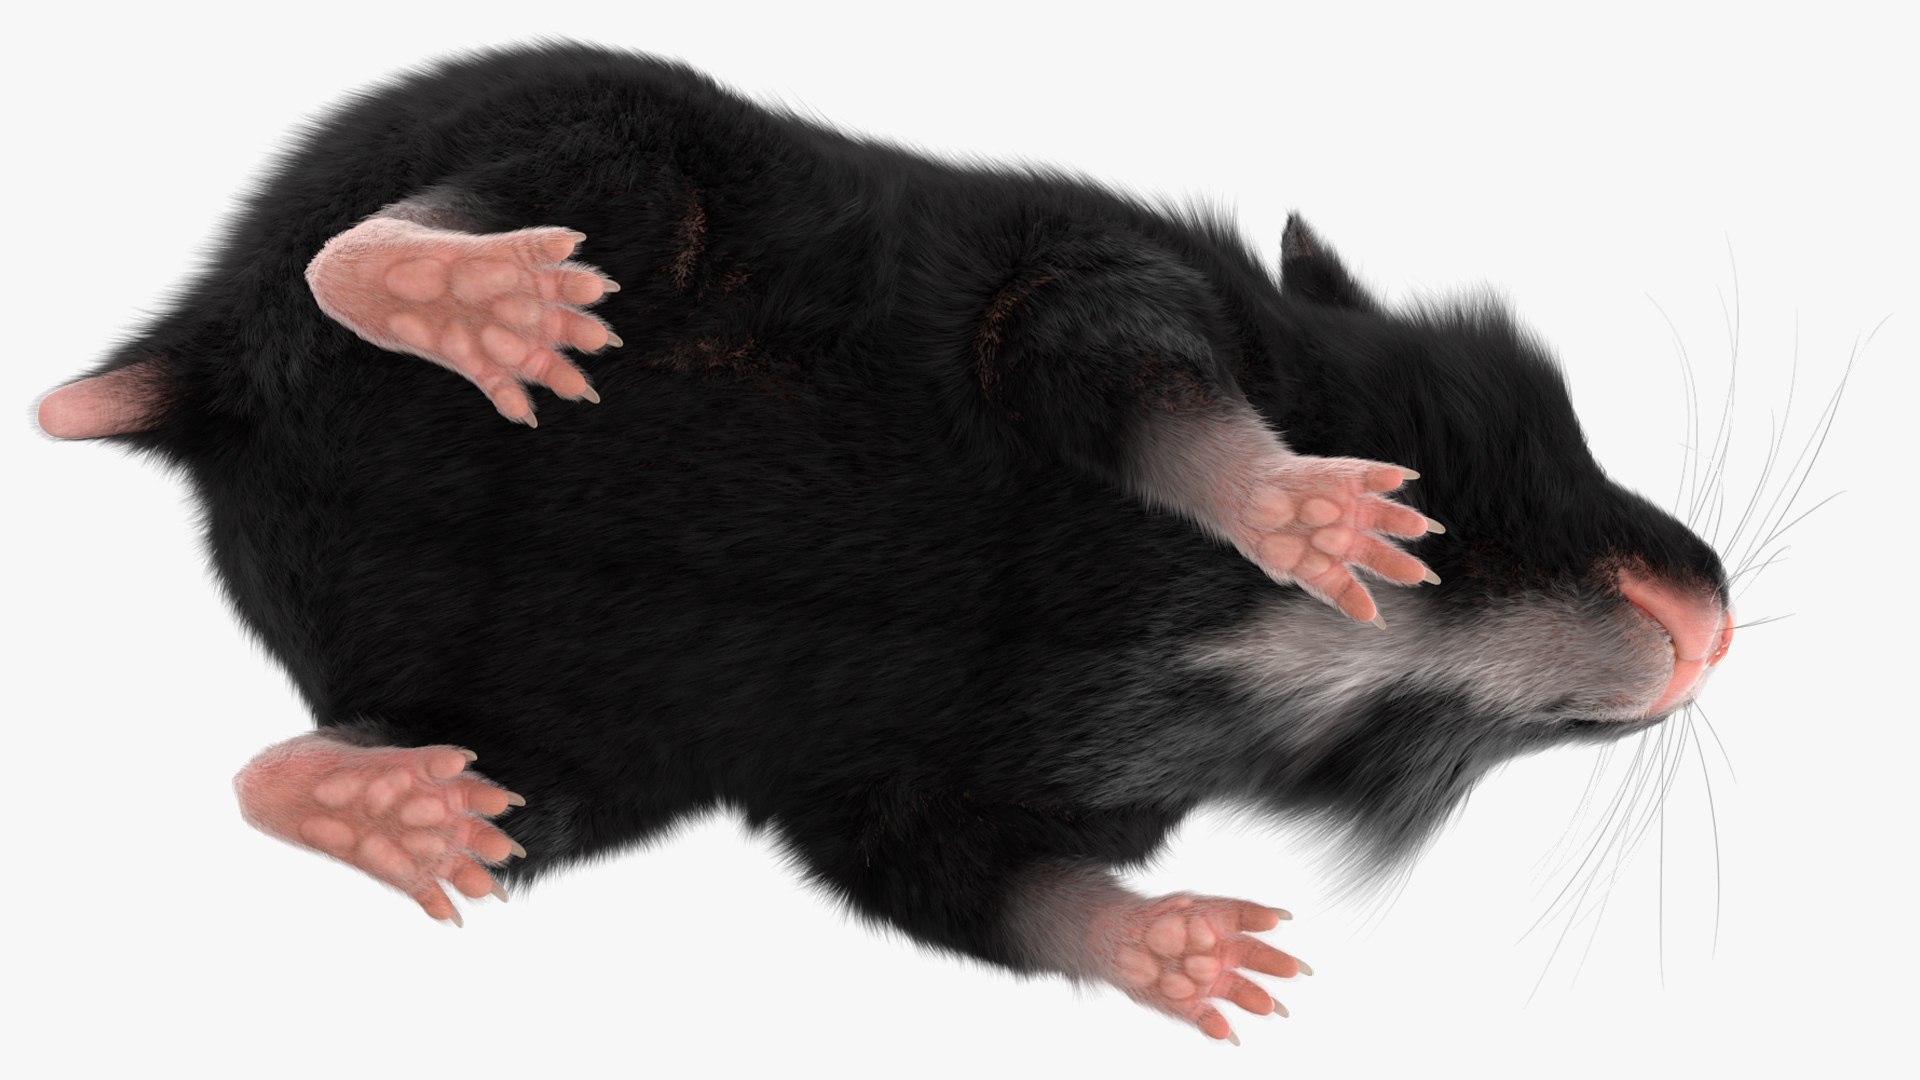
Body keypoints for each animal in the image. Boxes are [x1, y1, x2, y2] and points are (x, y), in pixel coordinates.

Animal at [35, 43, 1733, 1044]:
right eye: (1495, 426)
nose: (1714, 631)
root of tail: (197, 378)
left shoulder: (933, 791)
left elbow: (947, 876)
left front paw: (1189, 955)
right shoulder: (1096, 283)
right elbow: (1113, 366)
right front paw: (1324, 517)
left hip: (572, 752)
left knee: (410, 792)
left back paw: (395, 808)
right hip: (603, 146)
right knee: (437, 227)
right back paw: (477, 301)